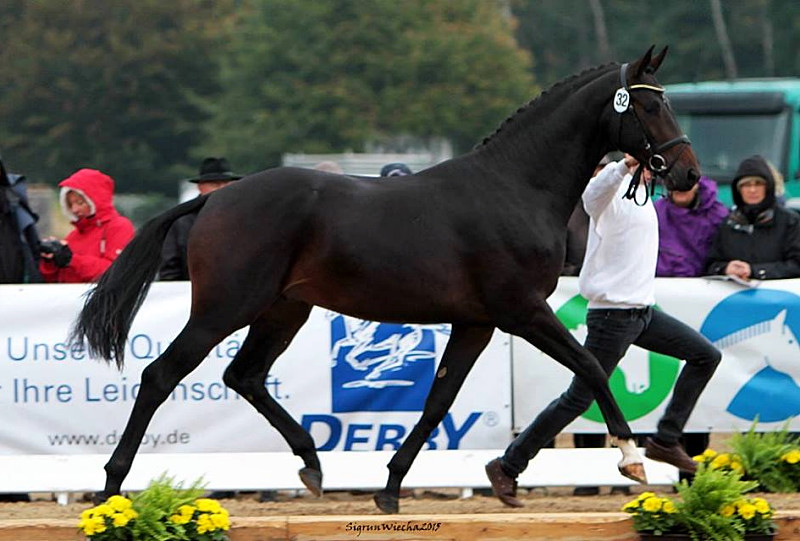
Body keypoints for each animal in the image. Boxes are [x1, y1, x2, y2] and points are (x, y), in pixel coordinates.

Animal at [75, 46, 700, 510]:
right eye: (648, 109)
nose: (689, 174)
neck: (515, 188)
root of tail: (214, 201)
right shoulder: (522, 312)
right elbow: (592, 366)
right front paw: (633, 459)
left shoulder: (475, 323)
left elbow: (438, 402)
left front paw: (391, 489)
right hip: (225, 307)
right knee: (161, 375)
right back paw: (110, 488)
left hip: (282, 310)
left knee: (244, 376)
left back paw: (312, 464)